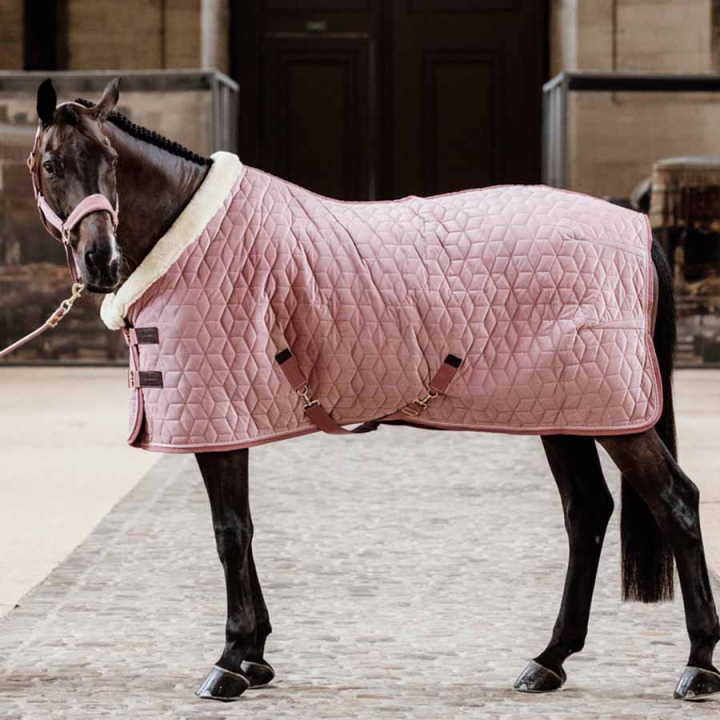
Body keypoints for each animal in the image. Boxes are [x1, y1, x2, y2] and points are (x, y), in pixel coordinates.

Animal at [25, 76, 720, 702]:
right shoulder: (233, 414)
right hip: (565, 409)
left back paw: (698, 665)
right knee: (588, 513)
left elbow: (229, 533)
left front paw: (229, 661)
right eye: (53, 163)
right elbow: (244, 530)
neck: (192, 234)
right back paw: (549, 660)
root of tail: (637, 228)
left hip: (615, 416)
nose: (100, 262)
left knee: (675, 502)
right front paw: (255, 656)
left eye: (112, 162)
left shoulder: (218, 417)